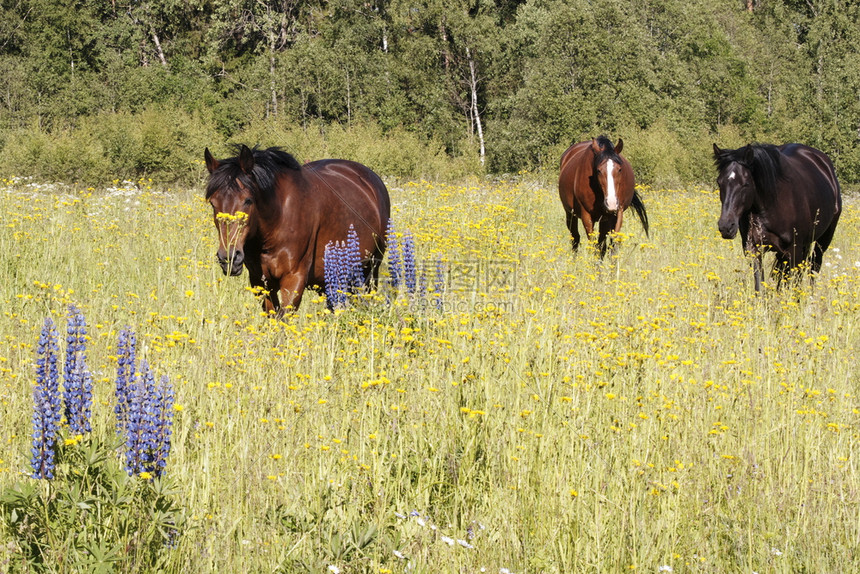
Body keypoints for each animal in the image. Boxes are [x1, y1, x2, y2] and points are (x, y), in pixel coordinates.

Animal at [205, 145, 390, 316]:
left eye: (248, 200)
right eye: (213, 203)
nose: (229, 258)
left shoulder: (294, 279)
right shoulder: (260, 281)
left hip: (370, 269)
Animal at [712, 144, 840, 292]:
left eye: (745, 184)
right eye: (719, 182)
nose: (726, 227)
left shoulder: (794, 250)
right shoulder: (753, 249)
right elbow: (760, 284)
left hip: (823, 240)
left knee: (813, 267)